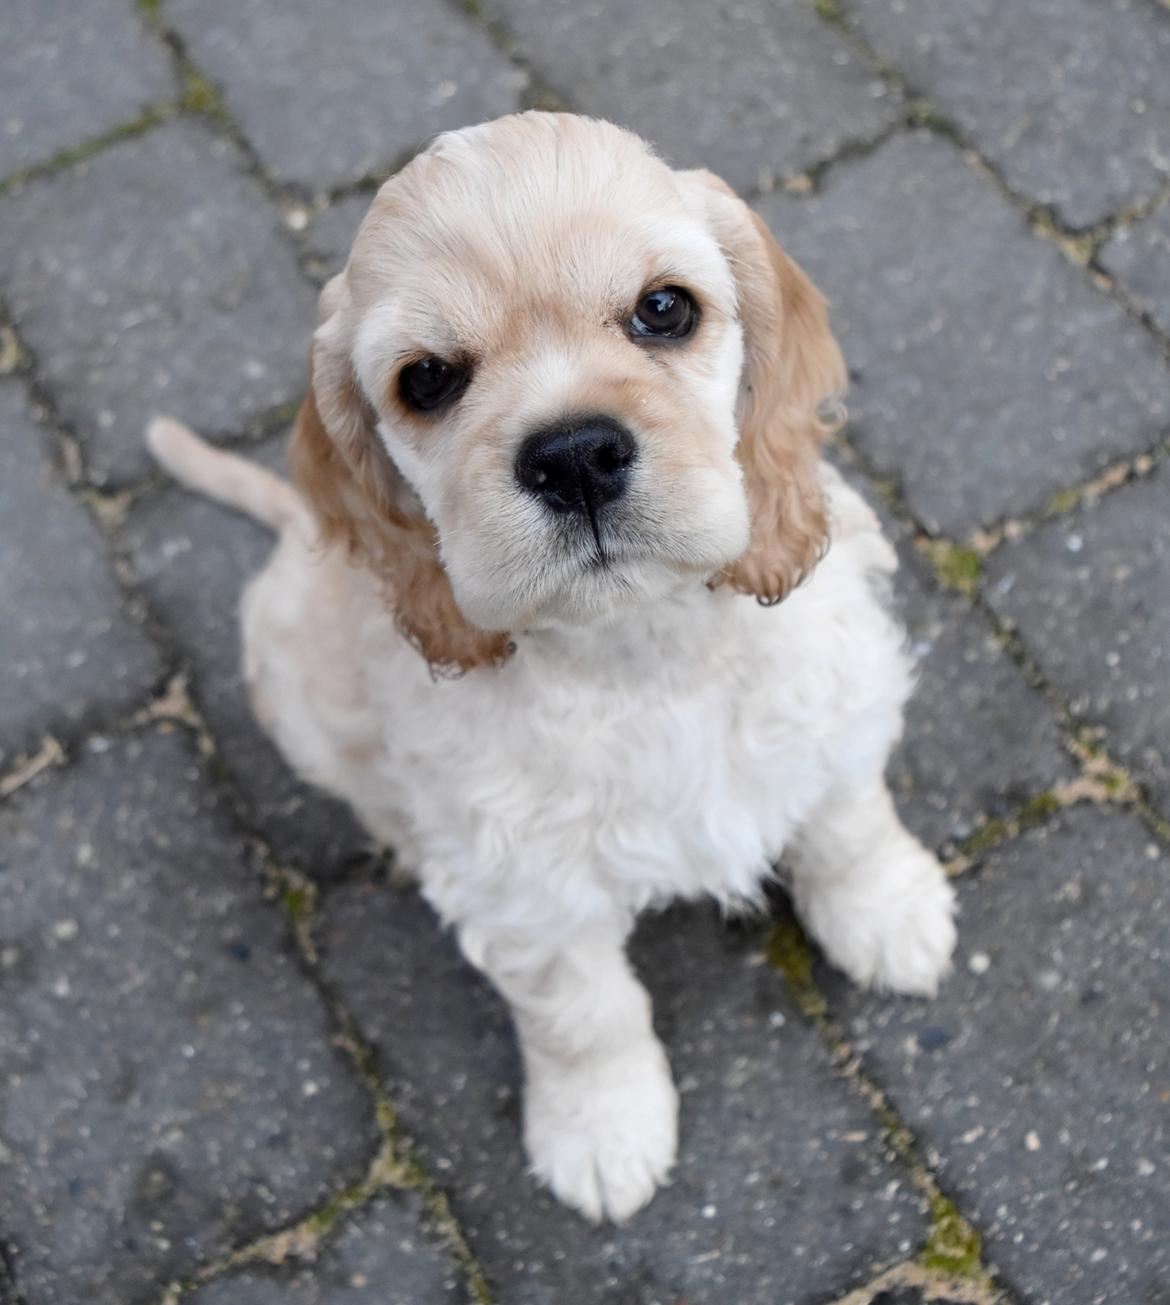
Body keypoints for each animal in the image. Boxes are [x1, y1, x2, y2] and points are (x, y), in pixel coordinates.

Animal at [146, 112, 954, 1221]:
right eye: (427, 379)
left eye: (665, 309)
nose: (573, 456)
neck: (640, 649)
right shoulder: (524, 890)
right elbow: (585, 1016)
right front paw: (602, 1132)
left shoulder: (829, 687)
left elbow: (847, 818)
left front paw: (890, 915)